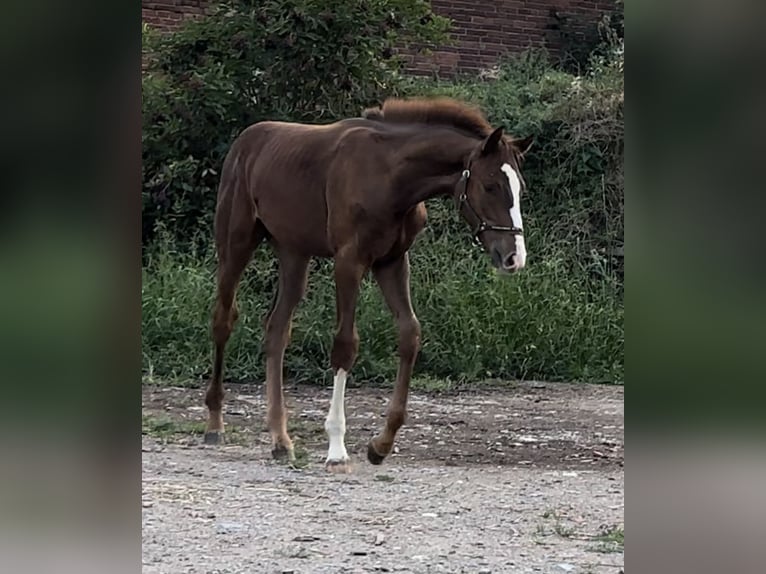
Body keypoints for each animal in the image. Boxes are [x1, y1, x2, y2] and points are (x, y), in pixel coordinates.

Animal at [202, 97, 536, 472]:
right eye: (491, 186)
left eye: (520, 188)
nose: (514, 257)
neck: (390, 174)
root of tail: (246, 141)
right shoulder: (349, 262)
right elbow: (346, 344)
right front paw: (336, 448)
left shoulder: (392, 262)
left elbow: (410, 335)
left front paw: (381, 444)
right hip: (236, 244)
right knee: (223, 319)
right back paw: (215, 423)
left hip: (293, 254)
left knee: (277, 329)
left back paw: (280, 440)